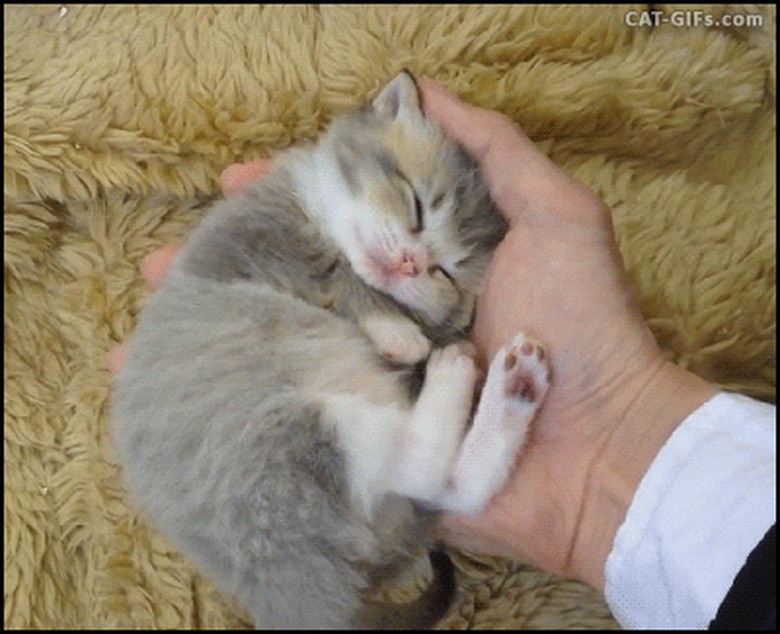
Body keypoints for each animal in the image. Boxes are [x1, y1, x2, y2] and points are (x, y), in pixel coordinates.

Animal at [112, 71, 548, 624]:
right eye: (417, 206)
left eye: (445, 271)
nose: (410, 262)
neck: (320, 207)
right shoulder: (263, 239)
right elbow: (339, 271)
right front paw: (402, 335)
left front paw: (408, 328)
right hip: (288, 423)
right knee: (425, 469)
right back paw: (470, 374)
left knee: (444, 483)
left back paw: (511, 388)